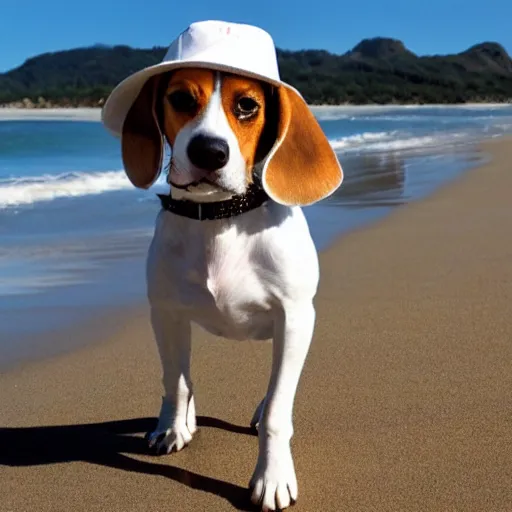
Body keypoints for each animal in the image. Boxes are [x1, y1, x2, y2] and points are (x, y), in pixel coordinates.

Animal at [102, 18, 342, 510]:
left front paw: (272, 476)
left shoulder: (294, 318)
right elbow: (175, 382)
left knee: (277, 394)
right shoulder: (166, 313)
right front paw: (173, 426)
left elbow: (278, 409)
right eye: (180, 99)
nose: (210, 152)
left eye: (247, 105)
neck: (220, 219)